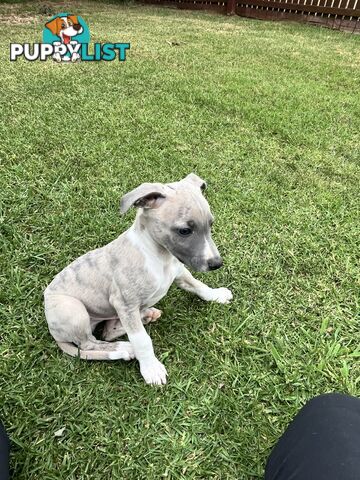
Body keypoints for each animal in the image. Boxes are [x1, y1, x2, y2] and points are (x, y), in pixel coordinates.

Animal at [44, 174, 233, 384]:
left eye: (211, 224)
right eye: (184, 230)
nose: (216, 263)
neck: (158, 256)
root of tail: (54, 332)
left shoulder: (179, 273)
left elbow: (198, 285)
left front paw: (217, 295)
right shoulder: (124, 304)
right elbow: (142, 340)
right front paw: (151, 368)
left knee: (107, 332)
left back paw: (145, 316)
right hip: (73, 309)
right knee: (89, 344)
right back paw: (124, 348)